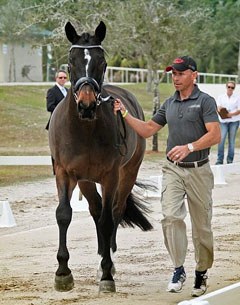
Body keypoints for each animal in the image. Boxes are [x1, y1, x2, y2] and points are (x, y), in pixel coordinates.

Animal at [48, 21, 153, 292]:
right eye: (70, 61)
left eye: (102, 62)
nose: (86, 105)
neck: (84, 128)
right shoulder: (65, 173)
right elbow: (63, 214)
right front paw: (63, 273)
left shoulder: (110, 176)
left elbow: (108, 220)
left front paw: (107, 274)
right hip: (85, 181)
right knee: (95, 210)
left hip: (128, 174)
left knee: (114, 211)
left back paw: (109, 261)